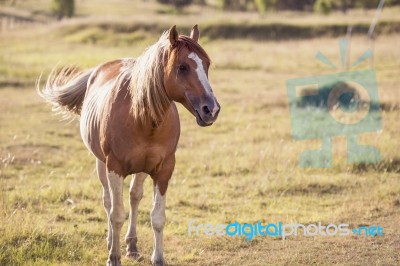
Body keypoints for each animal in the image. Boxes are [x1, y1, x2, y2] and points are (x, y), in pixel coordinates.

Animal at [37, 25, 220, 266]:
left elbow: (157, 217)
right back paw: (110, 242)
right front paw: (113, 257)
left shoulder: (164, 169)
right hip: (101, 164)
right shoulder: (114, 167)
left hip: (141, 168)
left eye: (206, 65)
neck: (141, 118)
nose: (211, 109)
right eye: (182, 67)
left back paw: (132, 246)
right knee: (108, 202)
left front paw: (158, 258)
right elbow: (116, 214)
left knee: (134, 197)